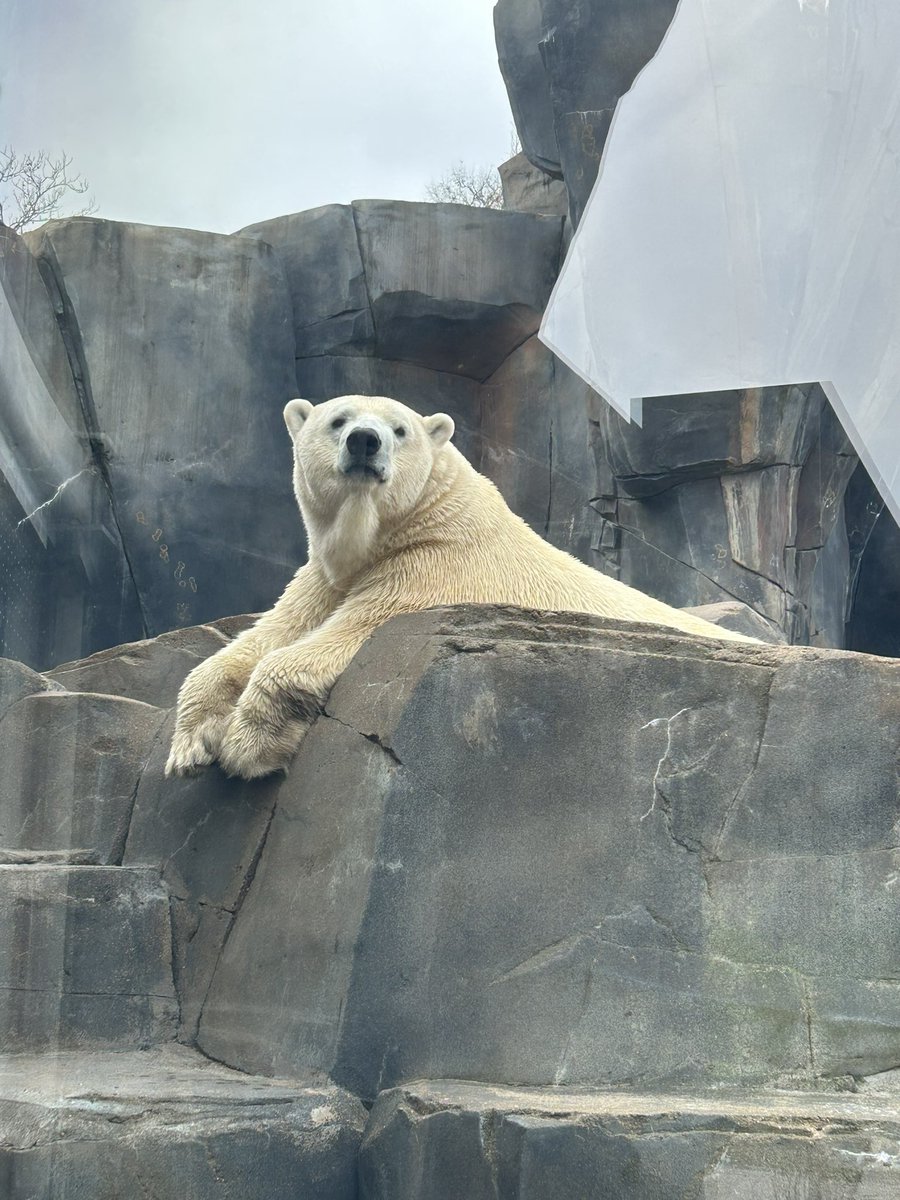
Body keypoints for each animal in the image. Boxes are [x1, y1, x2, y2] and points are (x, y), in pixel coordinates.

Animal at [168, 393, 753, 777]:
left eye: (399, 429)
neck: (425, 517)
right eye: (338, 420)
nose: (364, 442)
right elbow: (264, 636)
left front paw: (245, 746)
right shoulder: (325, 575)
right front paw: (190, 746)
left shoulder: (434, 568)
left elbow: (344, 634)